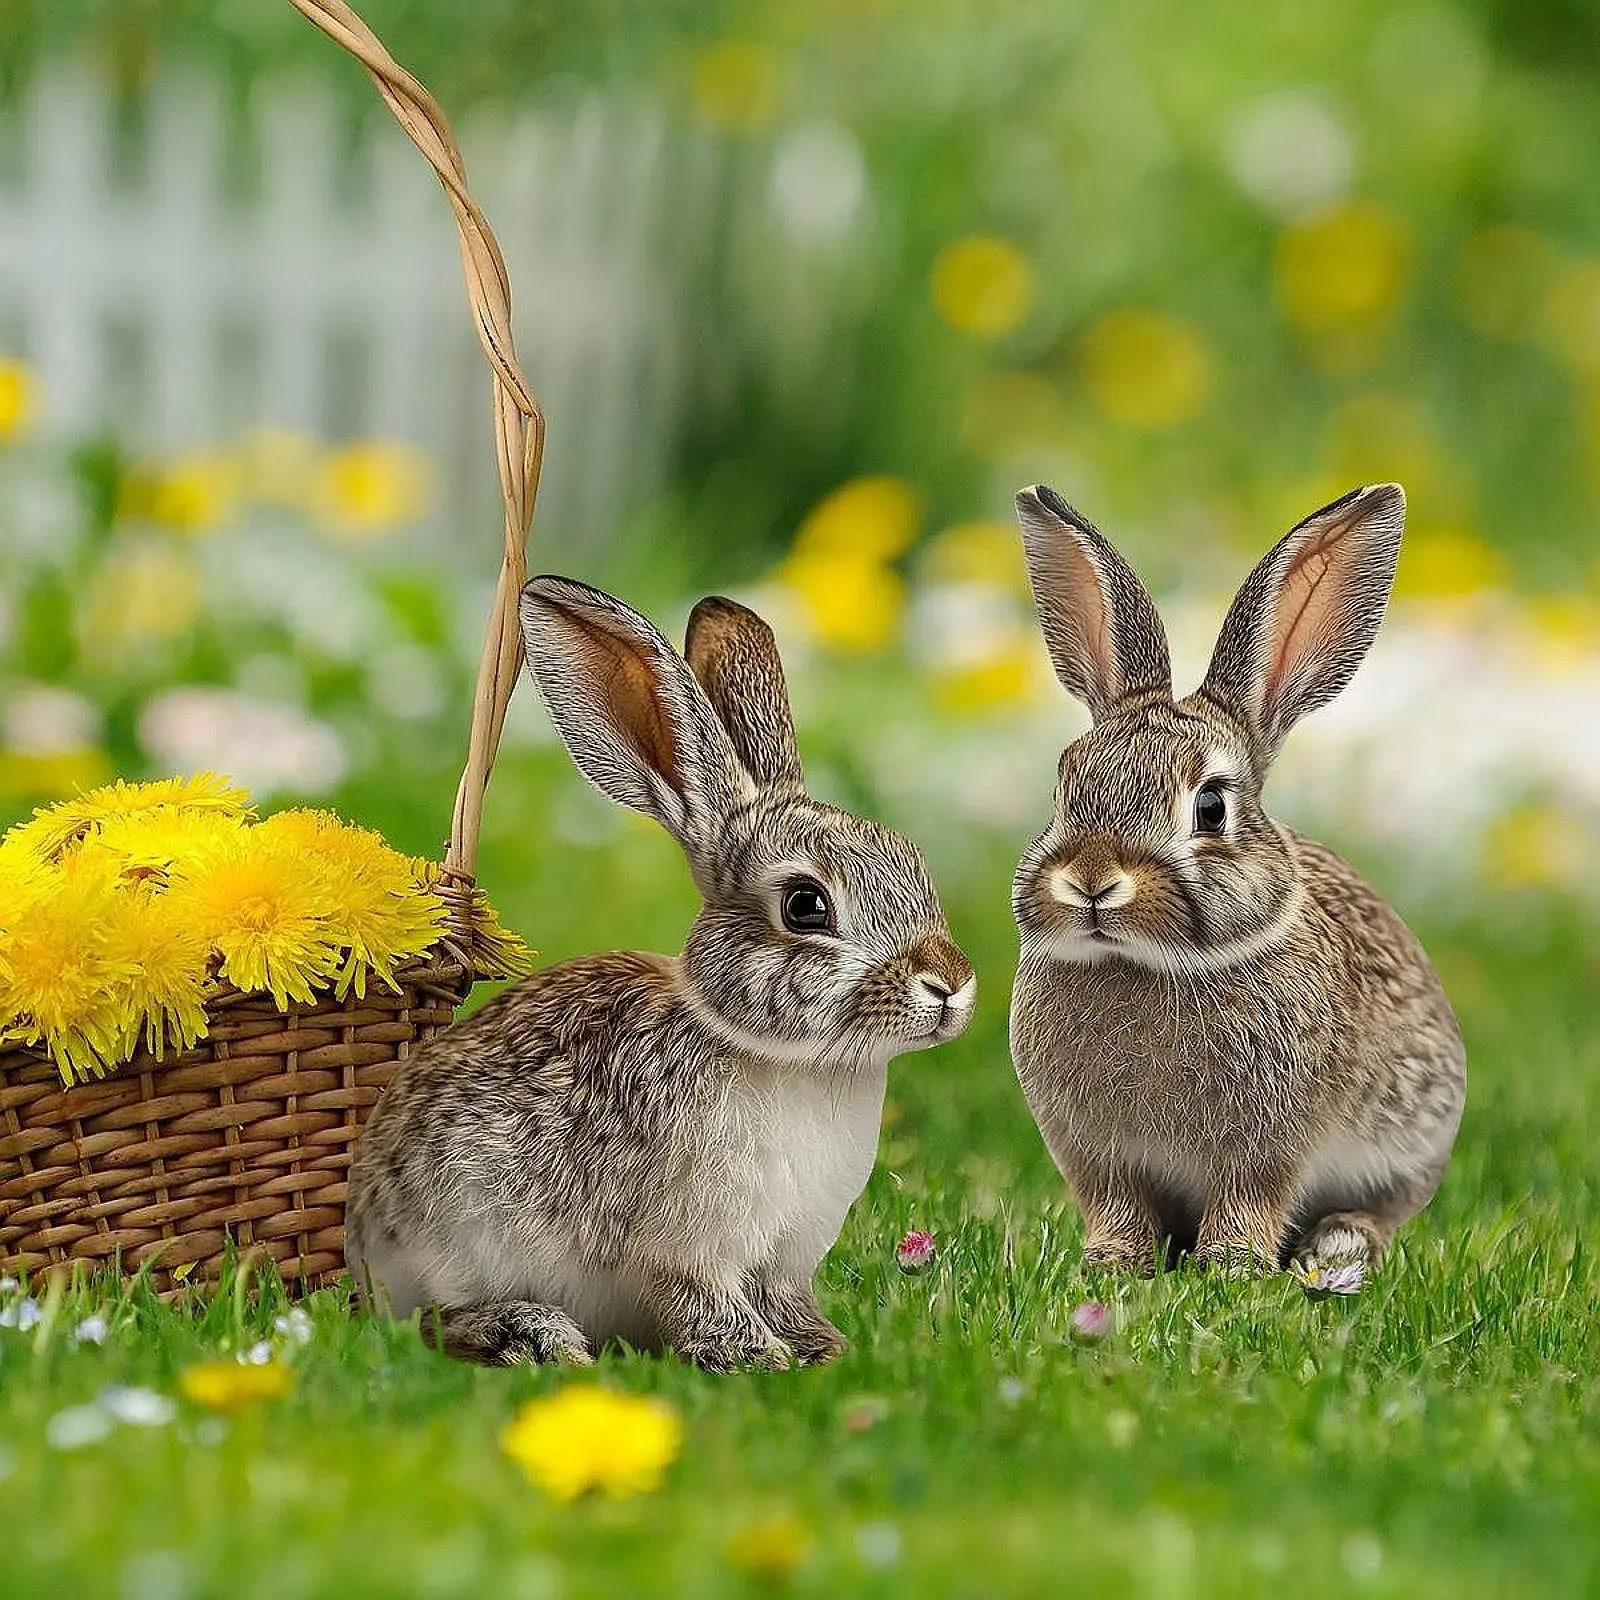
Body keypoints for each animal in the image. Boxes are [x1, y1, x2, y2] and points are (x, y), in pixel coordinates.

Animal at [346, 576, 976, 1369]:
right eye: (806, 905)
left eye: (916, 864)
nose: (950, 983)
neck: (776, 1054)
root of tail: (358, 1239)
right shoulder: (682, 1247)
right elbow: (701, 1302)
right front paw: (756, 1360)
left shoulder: (782, 1259)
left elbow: (784, 1303)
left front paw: (821, 1349)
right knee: (434, 1324)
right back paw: (533, 1335)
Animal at [1007, 481, 1465, 1279]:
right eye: (1063, 787)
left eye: (1211, 807)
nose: (1092, 882)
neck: (1144, 965)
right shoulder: (1099, 1156)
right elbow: (1119, 1207)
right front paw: (1111, 1263)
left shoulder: (1268, 1150)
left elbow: (1251, 1201)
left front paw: (1231, 1266)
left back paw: (1338, 1246)